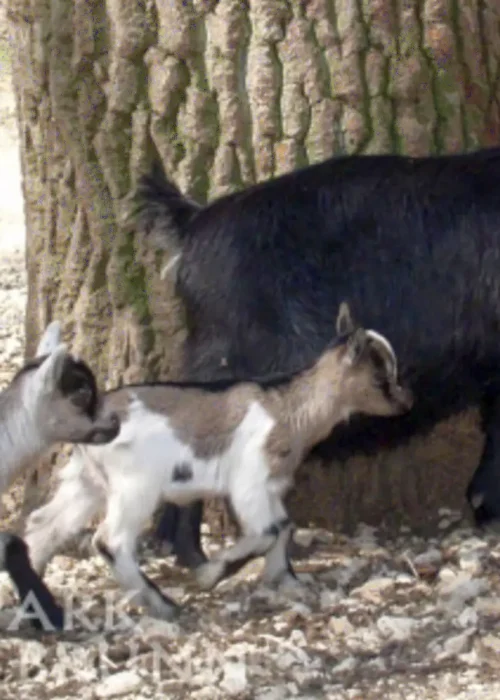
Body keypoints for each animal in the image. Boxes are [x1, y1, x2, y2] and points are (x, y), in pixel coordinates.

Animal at [24, 304, 412, 620]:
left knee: (43, 524)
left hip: (87, 481)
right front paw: (210, 575)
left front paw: (286, 581)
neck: (288, 407)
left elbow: (284, 526)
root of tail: (93, 418)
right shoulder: (249, 480)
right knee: (110, 541)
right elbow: (268, 531)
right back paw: (162, 605)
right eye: (381, 376)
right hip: (135, 486)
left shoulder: (271, 484)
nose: (407, 402)